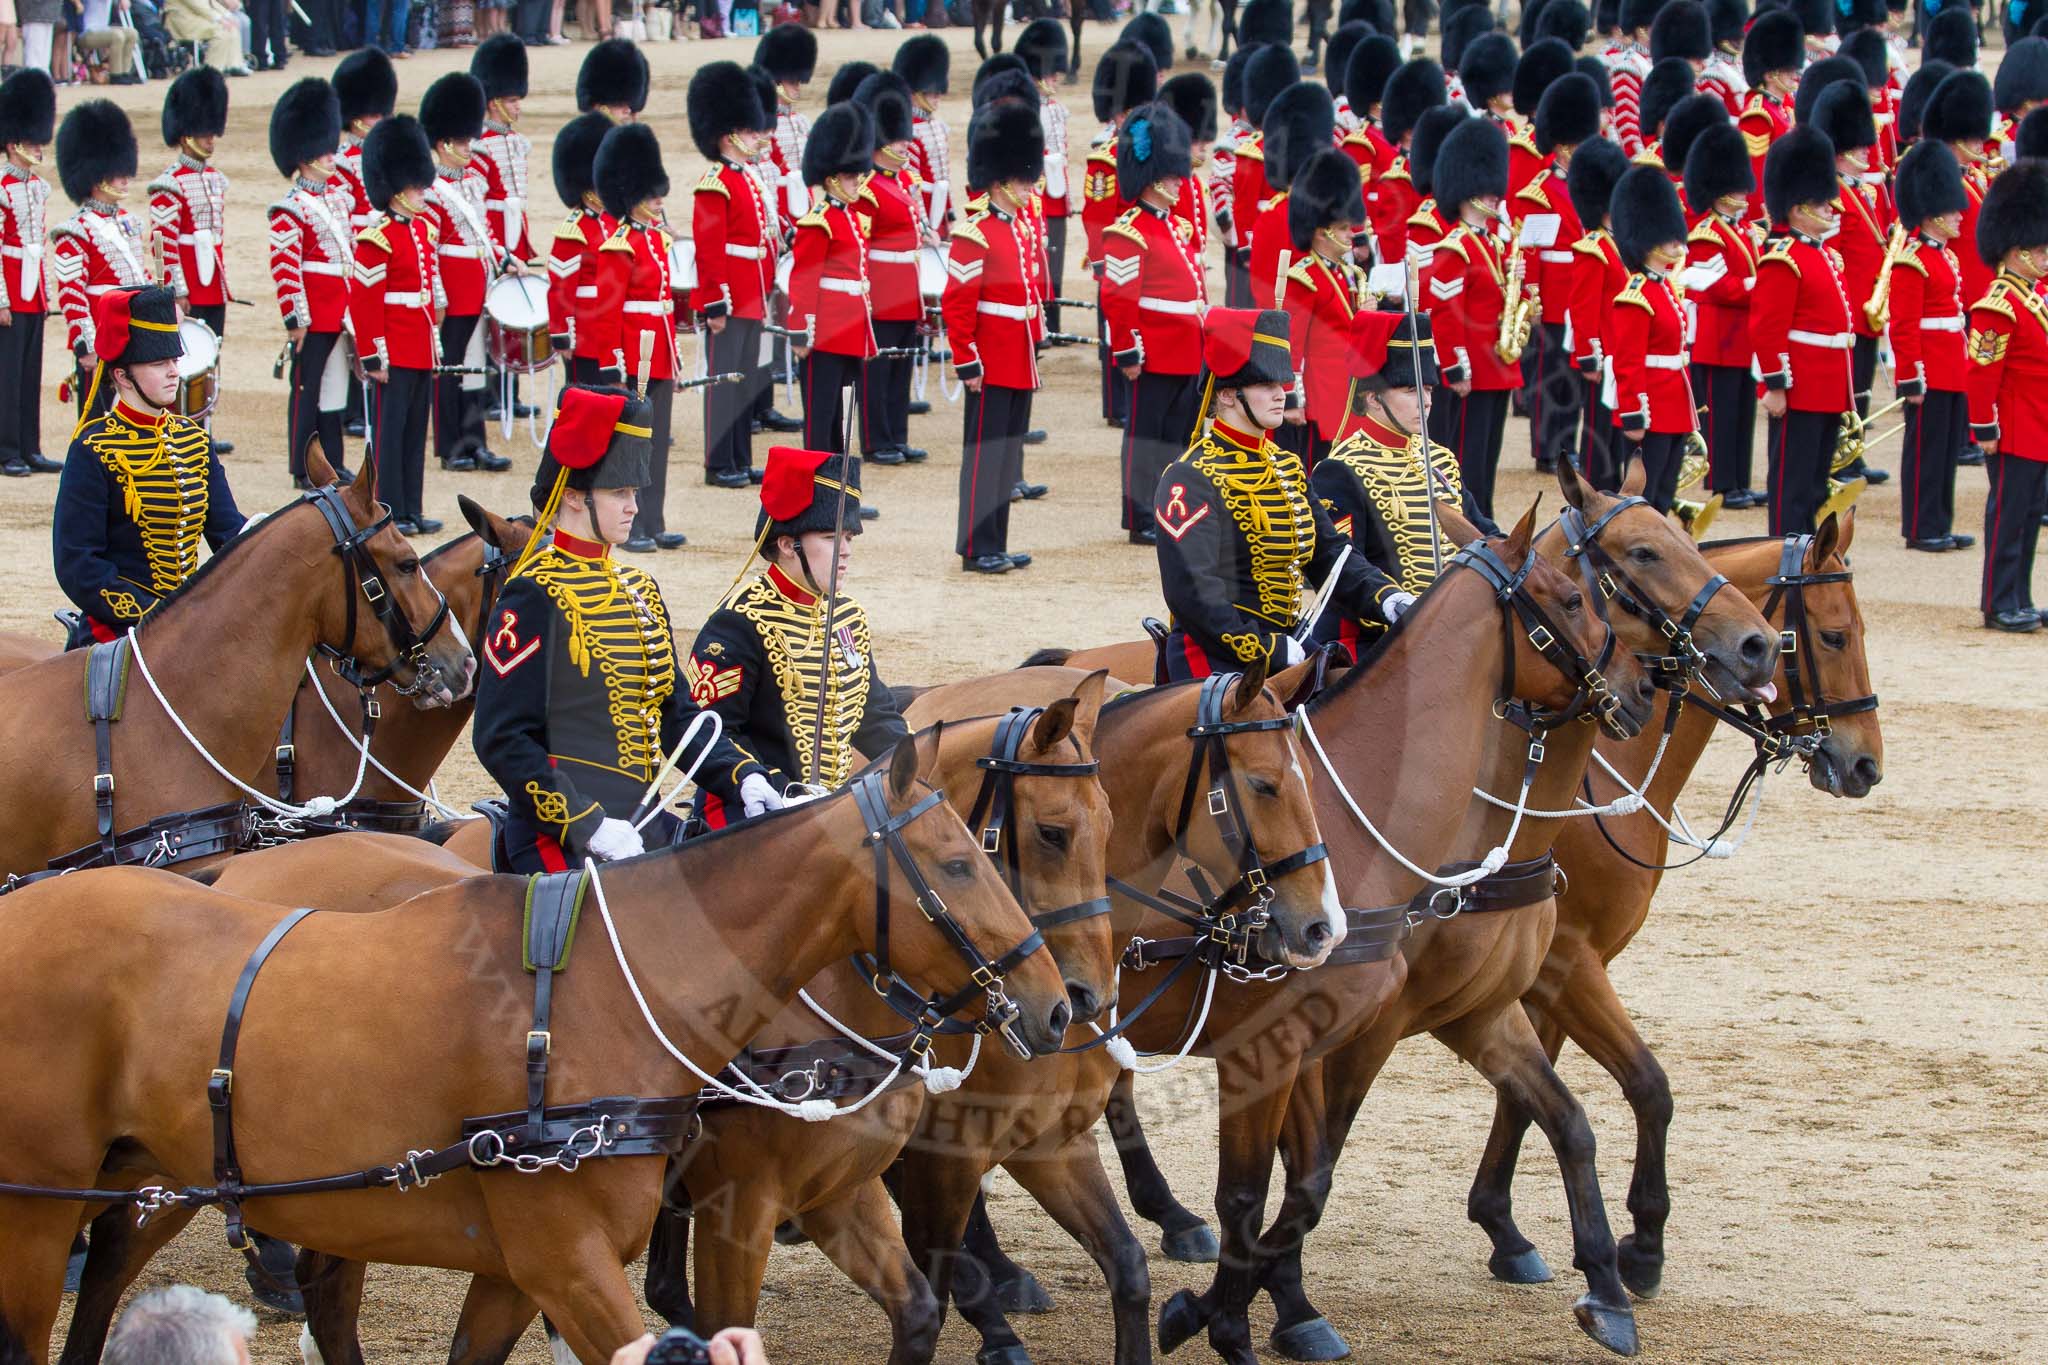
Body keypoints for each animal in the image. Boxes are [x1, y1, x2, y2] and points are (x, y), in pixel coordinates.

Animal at [57, 683, 1128, 1365]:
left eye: (1104, 824)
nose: (1070, 1001)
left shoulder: (839, 1193)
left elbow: (918, 1311)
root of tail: (240, 867)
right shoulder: (738, 1210)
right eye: (1042, 835)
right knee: (110, 1257)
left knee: (328, 1288)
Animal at [975, 466, 1785, 1361]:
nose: (1757, 647)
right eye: (1623, 564)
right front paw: (1233, 1313)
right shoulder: (1292, 1042)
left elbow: (1336, 1176)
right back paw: (1006, 1280)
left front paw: (1602, 1279)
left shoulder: (1458, 1011)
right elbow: (1264, 1190)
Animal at [1460, 514, 1883, 1306]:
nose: (1866, 764)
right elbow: (1649, 1087)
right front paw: (1644, 1243)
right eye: (1836, 635)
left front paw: (1502, 1226)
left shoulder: (1546, 973)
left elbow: (1525, 1093)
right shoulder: (1570, 960)